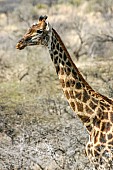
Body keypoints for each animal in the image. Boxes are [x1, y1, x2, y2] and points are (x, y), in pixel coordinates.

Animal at [16, 15, 113, 169]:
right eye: (29, 28)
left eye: (39, 31)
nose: (19, 44)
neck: (91, 119)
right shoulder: (95, 161)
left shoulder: (104, 161)